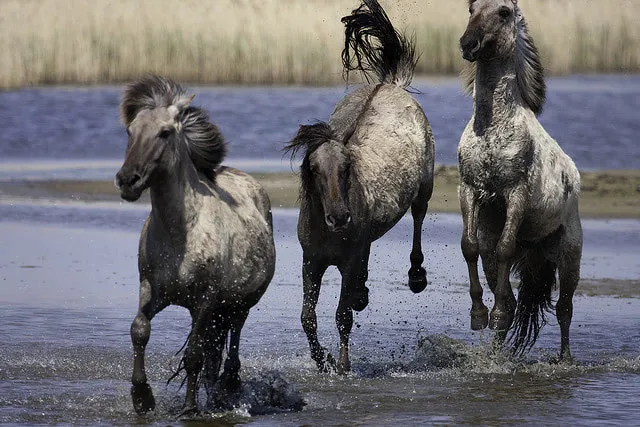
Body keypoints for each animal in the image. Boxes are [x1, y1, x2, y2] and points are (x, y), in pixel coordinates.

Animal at [115, 75, 276, 414]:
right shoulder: (151, 288)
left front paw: (189, 408)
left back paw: (228, 388)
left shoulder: (204, 300)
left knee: (232, 344)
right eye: (130, 131)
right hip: (216, 310)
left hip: (238, 304)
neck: (180, 234)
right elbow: (139, 330)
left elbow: (193, 356)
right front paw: (142, 398)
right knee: (214, 355)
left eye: (165, 132)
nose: (127, 180)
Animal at [285, 0, 435, 374]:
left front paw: (341, 365)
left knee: (418, 218)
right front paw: (322, 359)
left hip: (424, 189)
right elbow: (307, 317)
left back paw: (416, 277)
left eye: (347, 167)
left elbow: (342, 316)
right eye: (313, 169)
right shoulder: (312, 261)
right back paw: (363, 294)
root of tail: (390, 84)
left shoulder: (347, 261)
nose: (340, 218)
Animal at [458, 0, 582, 360]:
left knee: (564, 309)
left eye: (503, 12)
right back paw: (496, 353)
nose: (468, 44)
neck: (491, 128)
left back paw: (564, 359)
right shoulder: (469, 189)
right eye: (470, 9)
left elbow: (505, 248)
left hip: (570, 254)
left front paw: (493, 313)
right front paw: (479, 316)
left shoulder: (516, 194)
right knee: (515, 299)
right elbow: (469, 246)